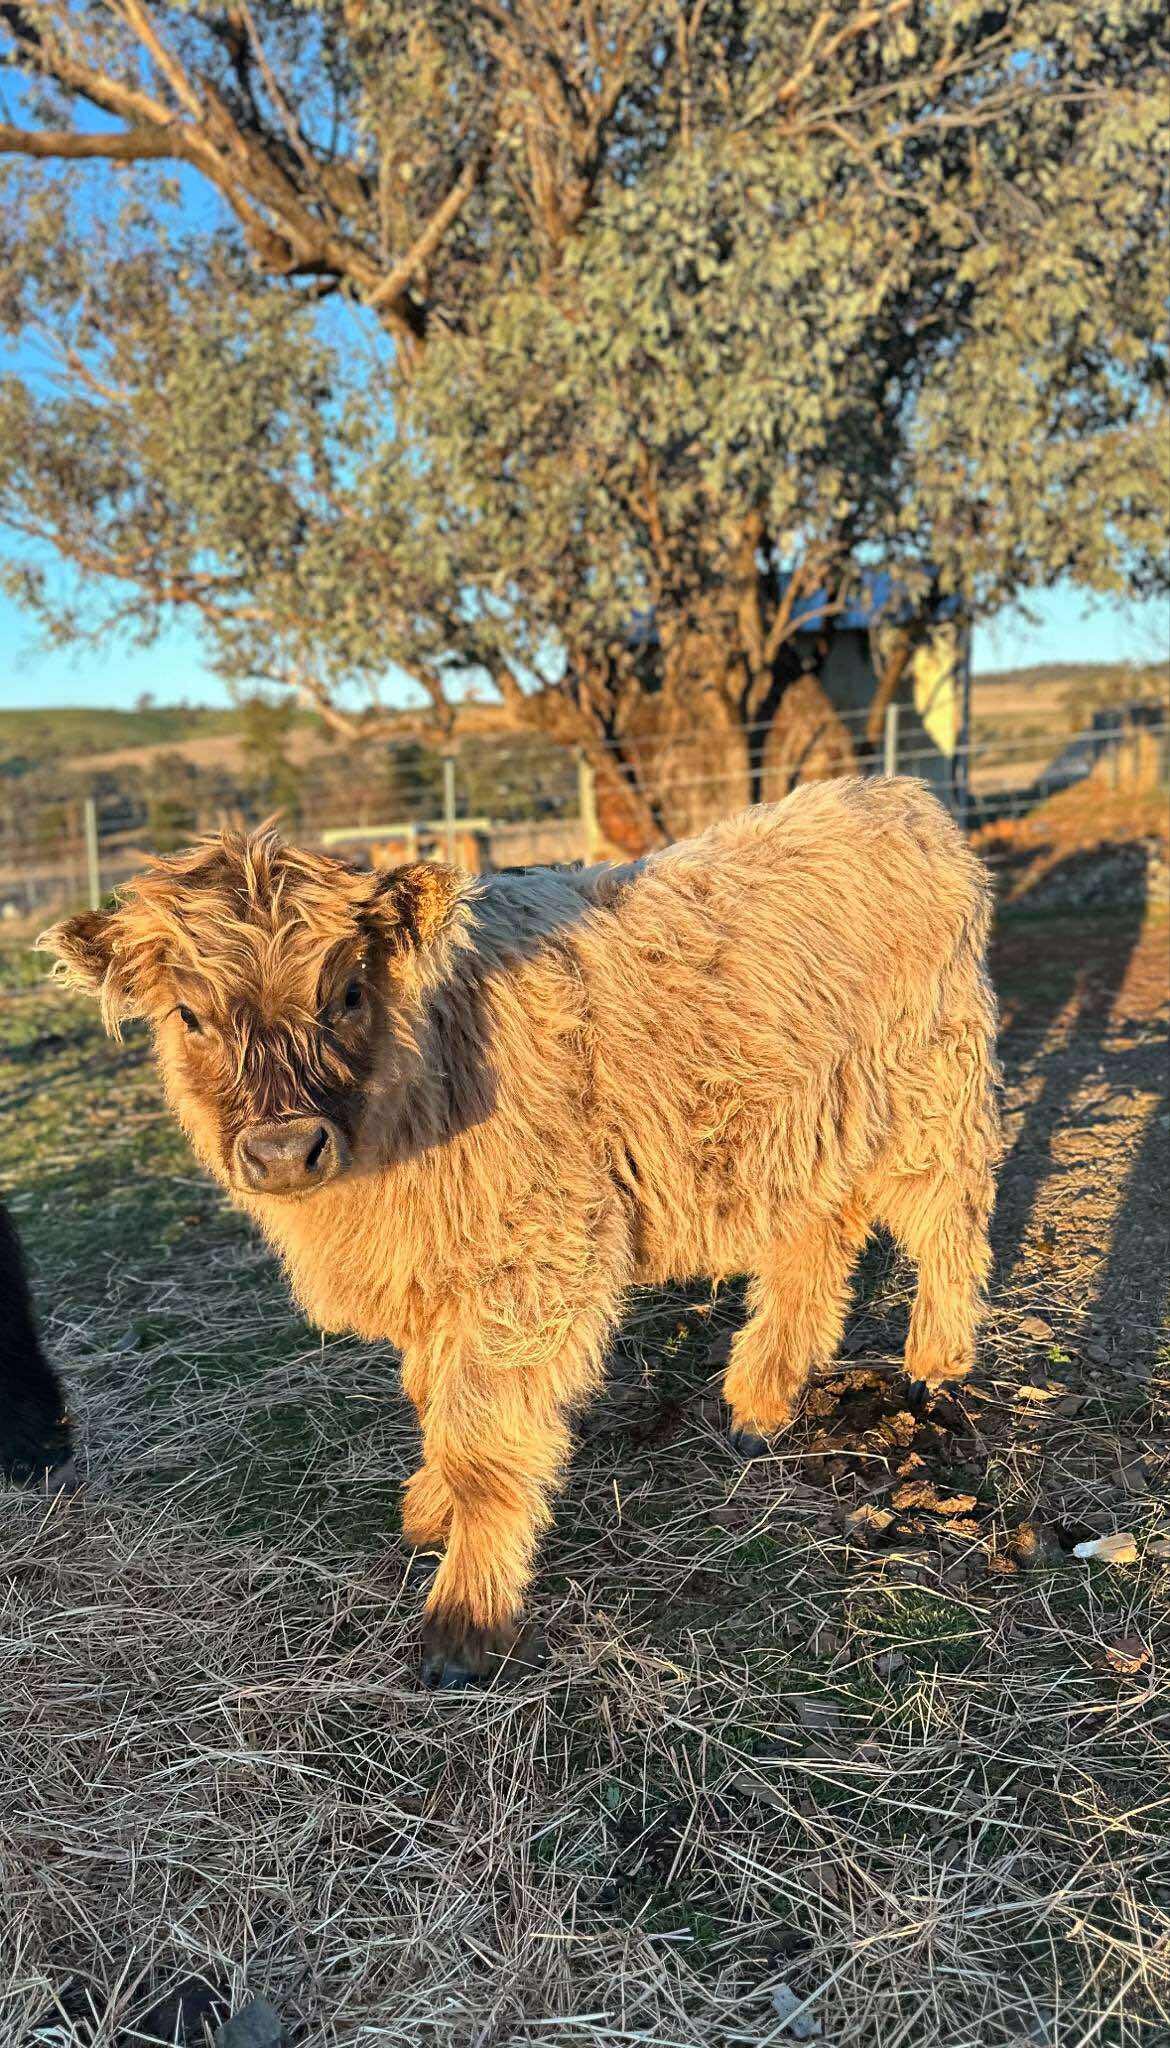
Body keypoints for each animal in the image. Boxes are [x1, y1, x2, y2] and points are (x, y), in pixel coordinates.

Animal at [42, 776, 1000, 1686]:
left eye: (347, 991)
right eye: (188, 1016)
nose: (284, 1150)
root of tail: (889, 796)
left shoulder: (529, 1258)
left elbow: (483, 1440)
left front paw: (465, 1623)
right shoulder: (433, 1271)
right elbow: (434, 1399)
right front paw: (429, 1511)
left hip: (929, 1086)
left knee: (951, 1217)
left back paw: (935, 1360)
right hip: (802, 1124)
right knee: (815, 1241)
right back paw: (758, 1401)